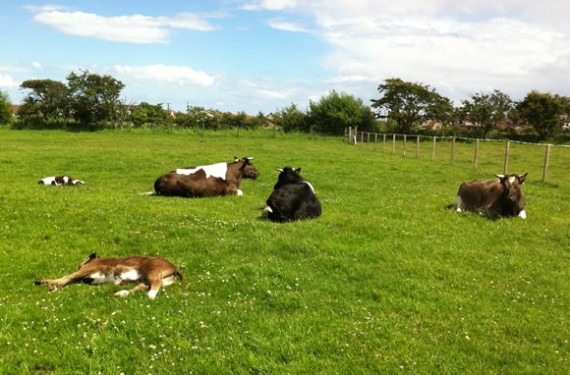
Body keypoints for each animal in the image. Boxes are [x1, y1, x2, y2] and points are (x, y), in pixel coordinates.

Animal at [34, 254, 184, 302]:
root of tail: (174, 266)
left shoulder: (89, 269)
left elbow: (67, 276)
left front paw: (52, 287)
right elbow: (69, 277)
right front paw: (43, 282)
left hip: (151, 270)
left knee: (154, 284)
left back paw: (150, 296)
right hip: (152, 278)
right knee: (142, 286)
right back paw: (119, 294)